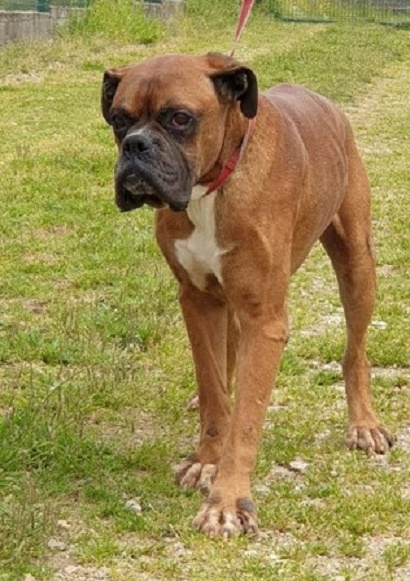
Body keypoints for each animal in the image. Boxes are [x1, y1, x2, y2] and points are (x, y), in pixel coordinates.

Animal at [101, 52, 395, 537]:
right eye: (119, 120)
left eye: (180, 118)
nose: (136, 146)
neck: (211, 187)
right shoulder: (197, 299)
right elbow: (214, 388)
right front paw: (207, 459)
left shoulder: (264, 319)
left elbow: (246, 421)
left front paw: (227, 501)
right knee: (224, 365)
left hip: (357, 266)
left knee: (355, 352)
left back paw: (364, 424)